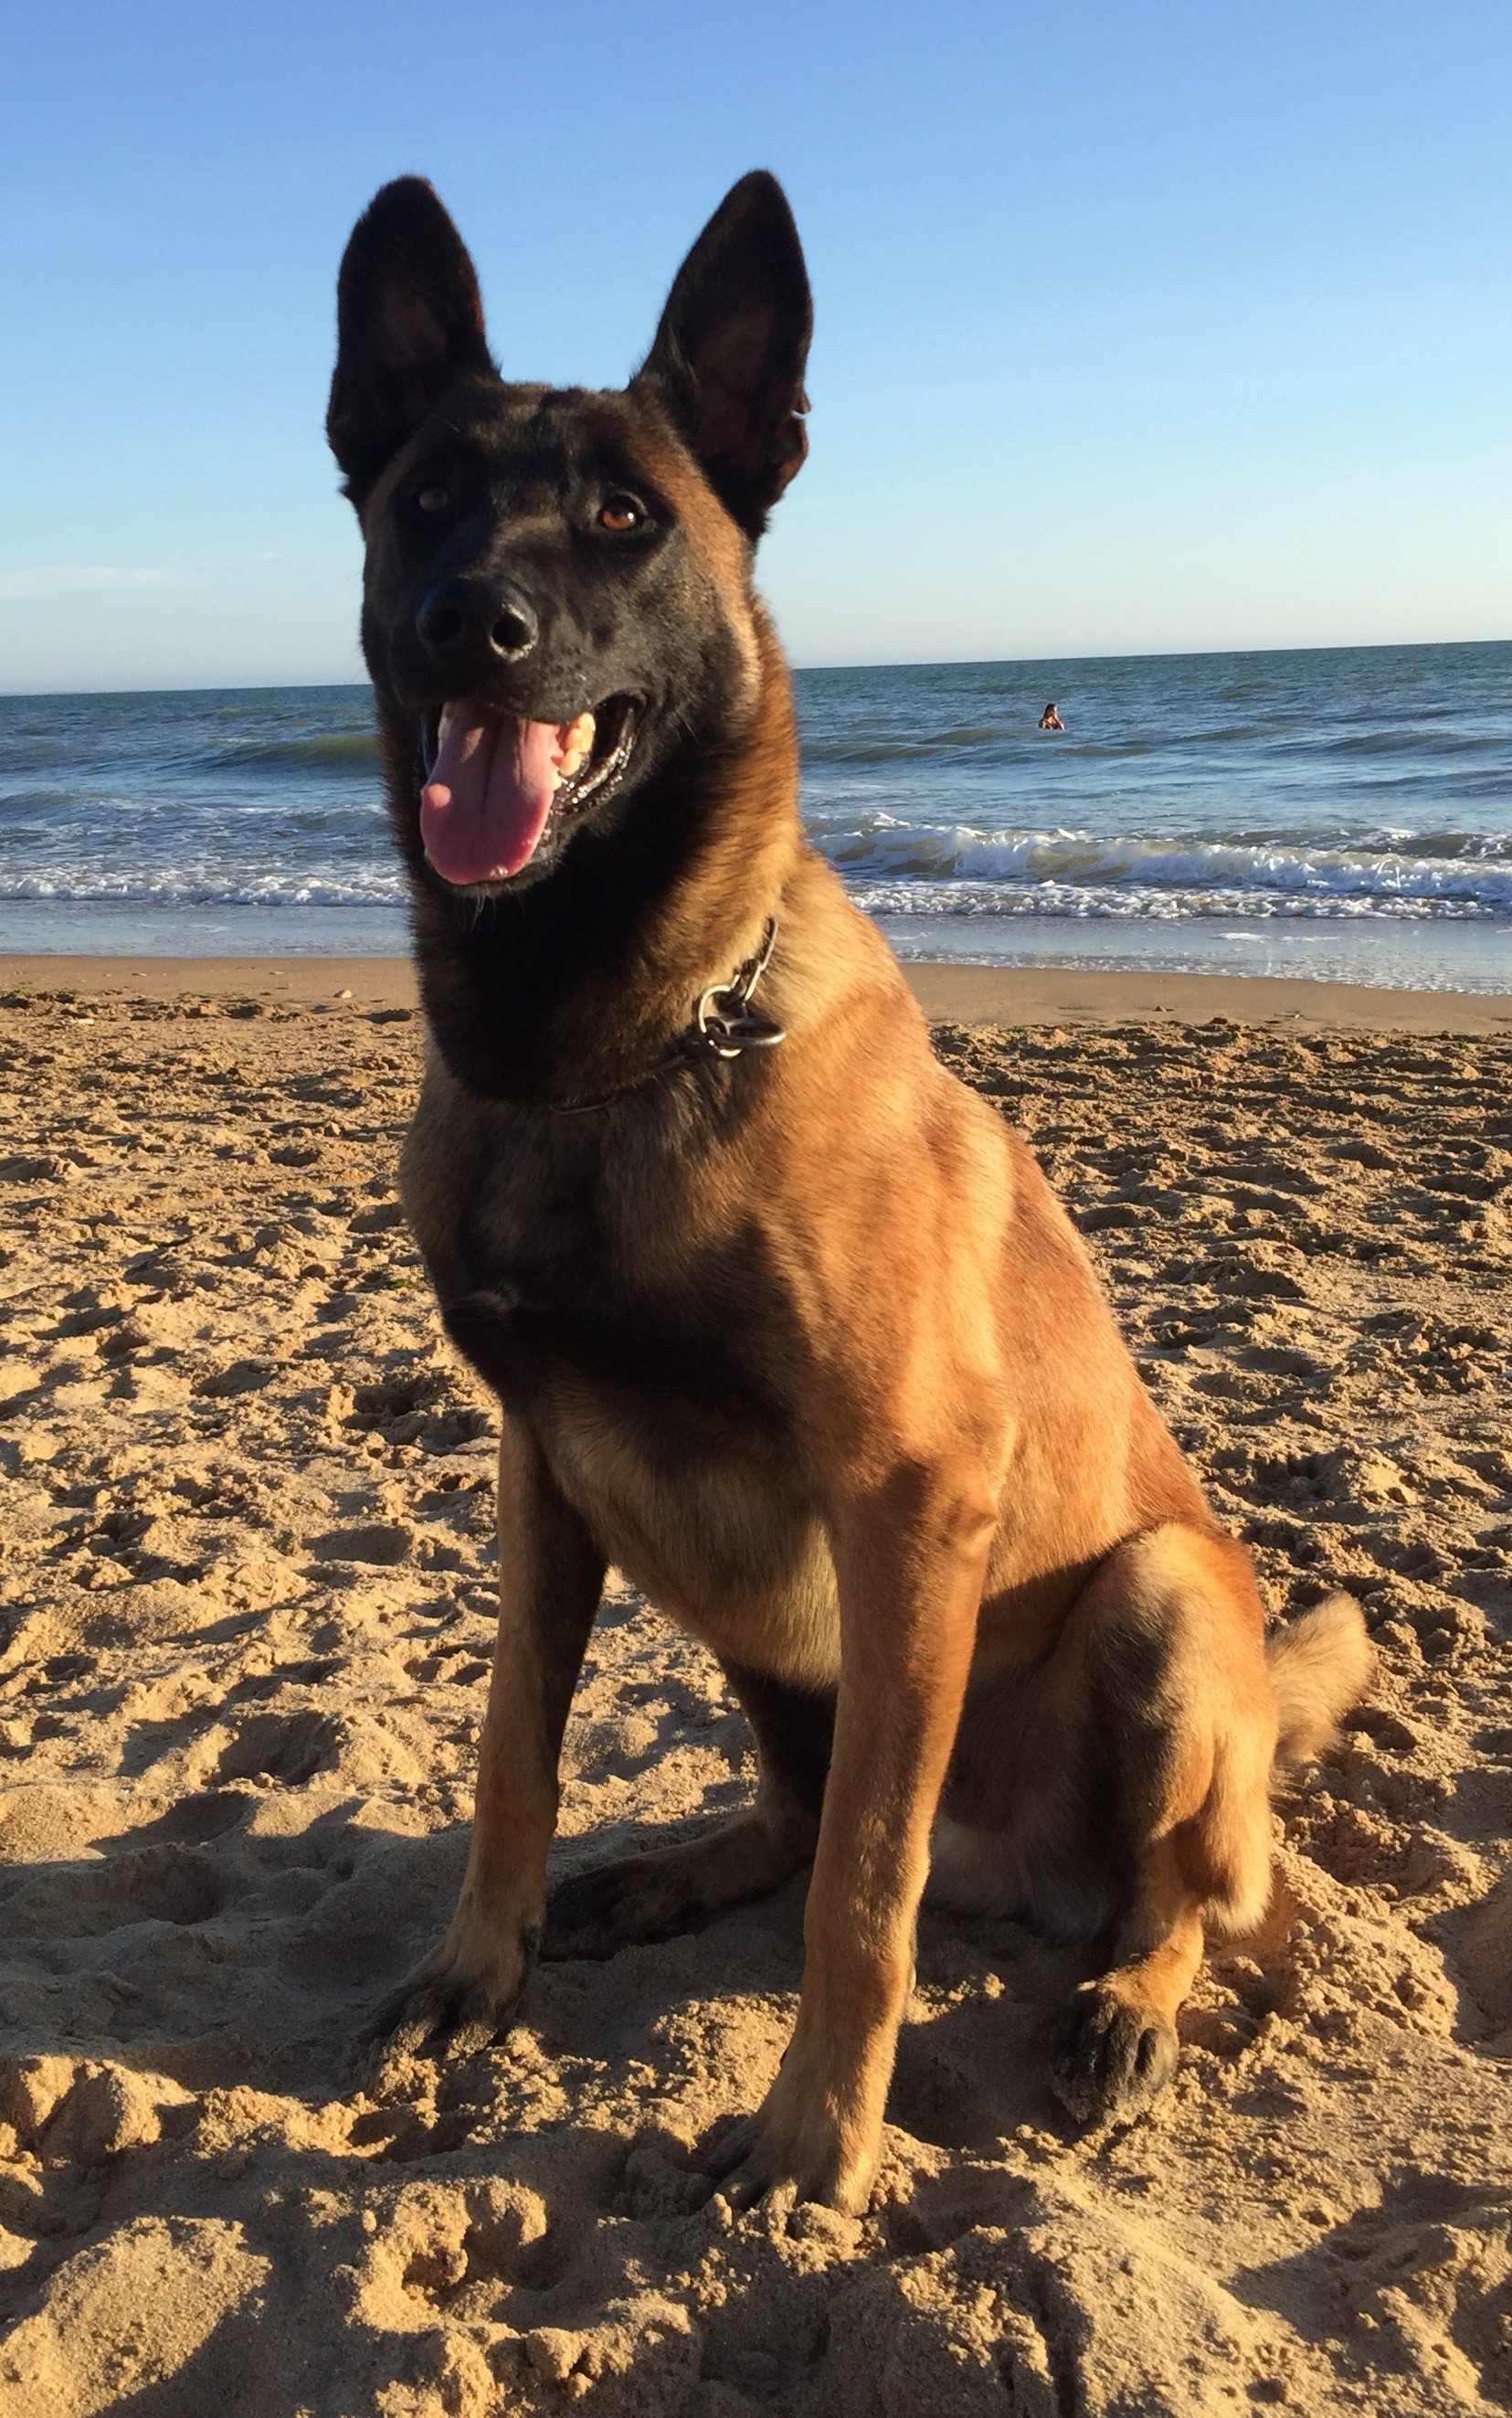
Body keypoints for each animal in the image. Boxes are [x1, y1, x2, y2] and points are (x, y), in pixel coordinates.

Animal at [326, 170, 1364, 2214]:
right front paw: (479, 1965)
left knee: (1180, 1890)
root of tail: (1020, 1880)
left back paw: (1123, 1995)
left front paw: (818, 2129)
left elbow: (862, 1900)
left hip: (1152, 1606)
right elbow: (510, 1758)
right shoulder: (543, 1474)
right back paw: (664, 1873)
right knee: (793, 1820)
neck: (611, 1047)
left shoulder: (908, 1505)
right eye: (426, 499)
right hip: (762, 1649)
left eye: (626, 518)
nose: (470, 625)